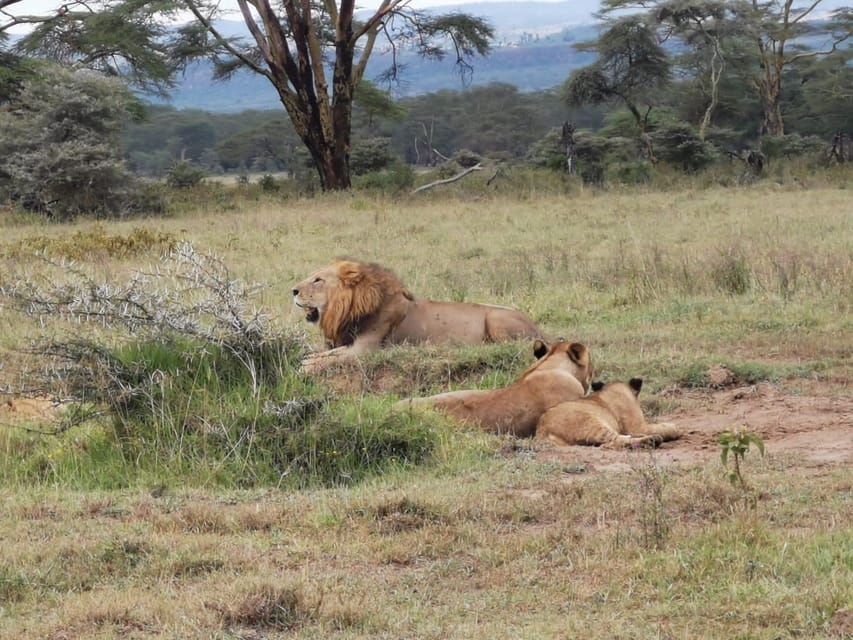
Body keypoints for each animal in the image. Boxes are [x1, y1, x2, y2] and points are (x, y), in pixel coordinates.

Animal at [290, 258, 536, 370]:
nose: (292, 291)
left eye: (318, 280)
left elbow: (330, 359)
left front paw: (305, 367)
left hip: (496, 318)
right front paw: (305, 359)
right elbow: (324, 353)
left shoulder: (366, 350)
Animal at [536, 378, 684, 448]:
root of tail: (543, 432)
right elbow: (666, 427)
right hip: (592, 422)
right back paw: (652, 440)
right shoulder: (638, 426)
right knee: (613, 442)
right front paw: (676, 429)